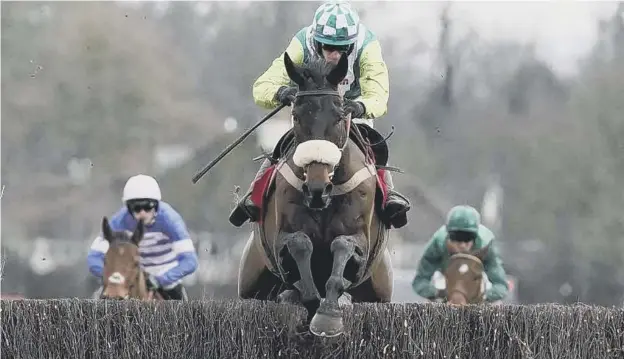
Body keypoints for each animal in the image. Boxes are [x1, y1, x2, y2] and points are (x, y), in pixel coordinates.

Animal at [236, 51, 392, 338]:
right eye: (297, 116)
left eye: (340, 116)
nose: (317, 188)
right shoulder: (283, 236)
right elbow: (300, 245)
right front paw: (311, 302)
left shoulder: (360, 240)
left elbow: (342, 248)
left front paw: (328, 316)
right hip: (251, 281)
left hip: (379, 290)